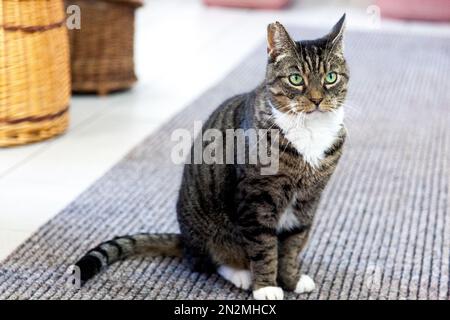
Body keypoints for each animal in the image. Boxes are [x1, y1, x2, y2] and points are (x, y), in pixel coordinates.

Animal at [74, 14, 348, 300]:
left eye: (331, 77)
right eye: (295, 78)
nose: (317, 99)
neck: (310, 133)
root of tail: (185, 240)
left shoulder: (308, 201)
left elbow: (292, 245)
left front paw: (291, 279)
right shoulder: (256, 199)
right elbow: (264, 247)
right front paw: (266, 287)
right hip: (211, 234)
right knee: (210, 261)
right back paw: (241, 274)